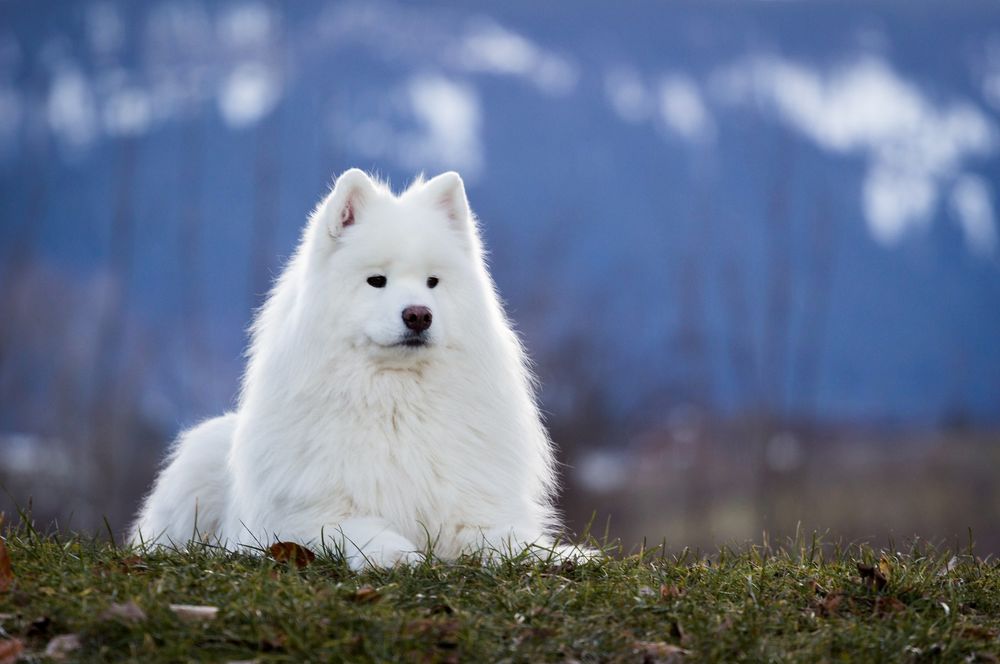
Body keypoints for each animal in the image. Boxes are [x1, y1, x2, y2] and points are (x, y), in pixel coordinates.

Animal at [130, 169, 564, 568]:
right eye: (376, 280)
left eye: (432, 282)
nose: (418, 315)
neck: (396, 402)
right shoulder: (310, 518)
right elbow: (362, 530)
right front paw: (397, 554)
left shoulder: (470, 512)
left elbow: (509, 539)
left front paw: (564, 556)